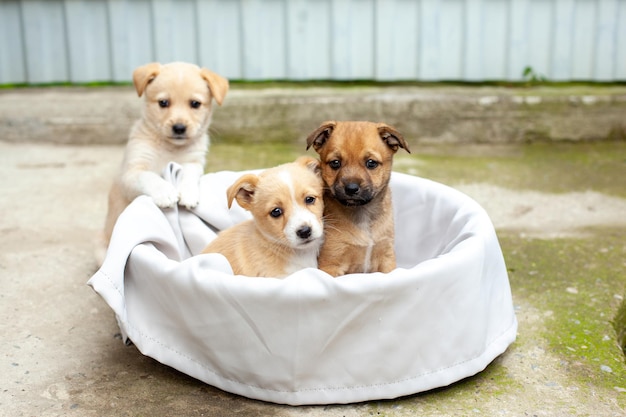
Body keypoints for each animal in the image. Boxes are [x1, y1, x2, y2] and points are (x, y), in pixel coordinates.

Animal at [100, 61, 229, 264]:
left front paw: (188, 193)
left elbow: (189, 173)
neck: (170, 149)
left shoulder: (194, 161)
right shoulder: (131, 173)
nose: (179, 128)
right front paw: (165, 192)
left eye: (195, 104)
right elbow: (149, 176)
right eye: (163, 103)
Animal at [304, 120, 410, 276]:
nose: (351, 188)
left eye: (371, 163)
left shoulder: (386, 256)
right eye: (335, 163)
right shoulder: (331, 262)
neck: (363, 213)